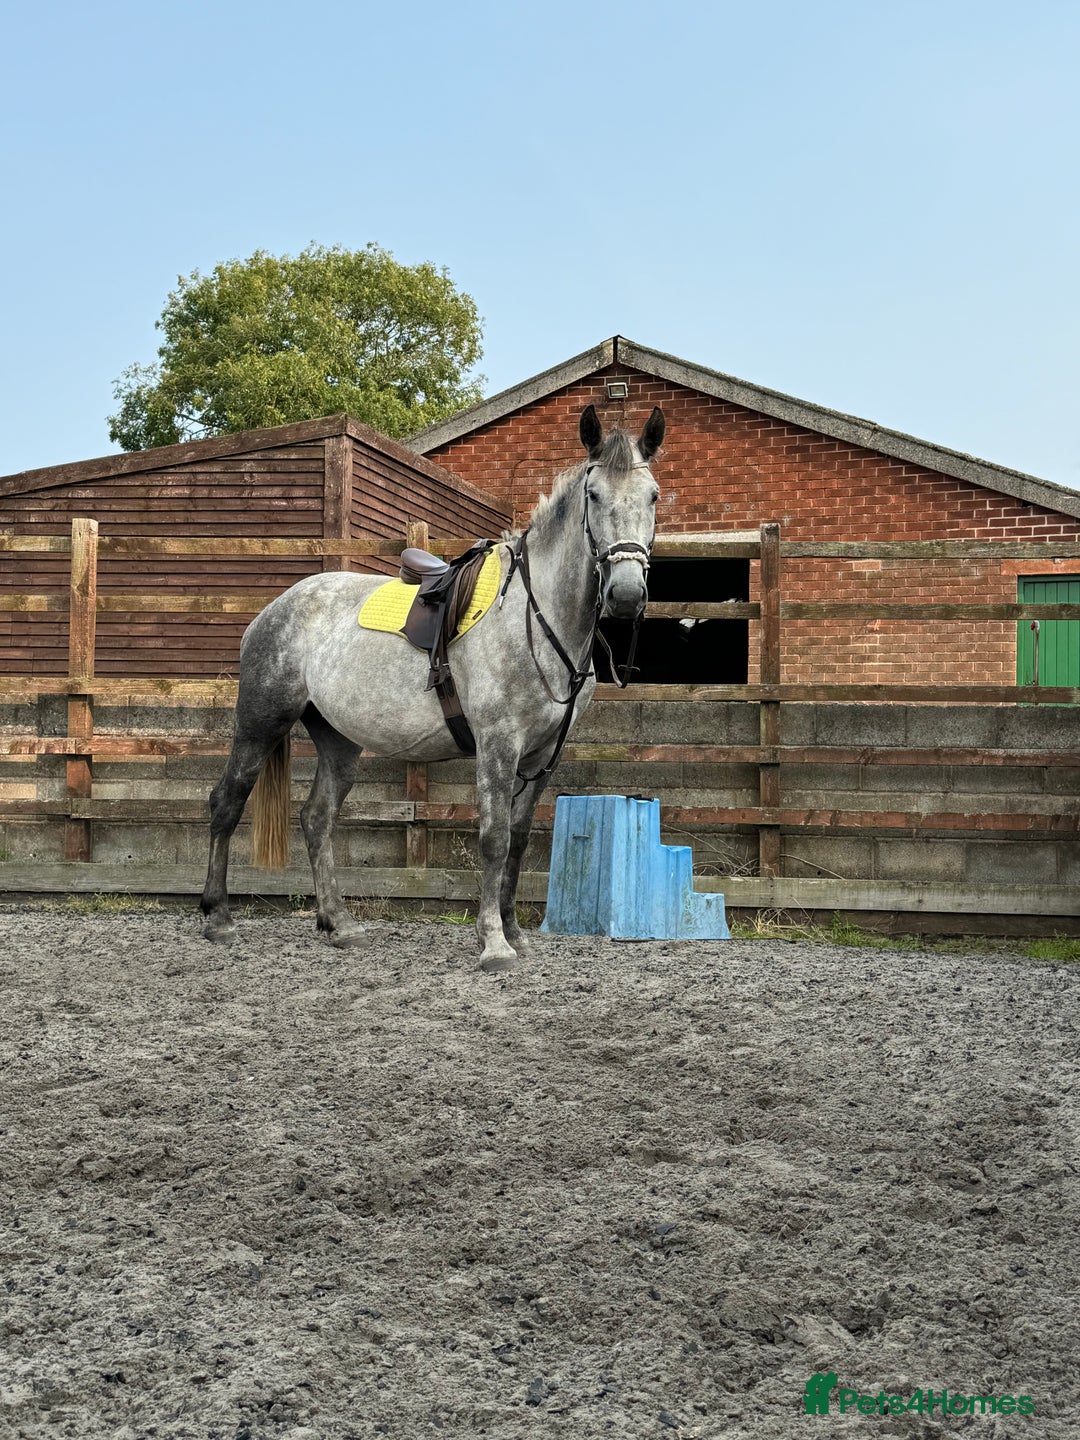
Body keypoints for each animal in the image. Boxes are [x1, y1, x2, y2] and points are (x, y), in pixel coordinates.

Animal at [199, 403, 665, 970]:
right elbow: (493, 839)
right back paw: (218, 918)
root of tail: (272, 610)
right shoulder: (498, 745)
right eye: (593, 496)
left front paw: (514, 932)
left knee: (316, 819)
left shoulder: (540, 758)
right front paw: (493, 943)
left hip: (337, 738)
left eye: (653, 496)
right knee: (228, 802)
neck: (535, 617)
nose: (626, 595)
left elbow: (519, 840)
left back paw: (339, 924)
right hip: (260, 722)